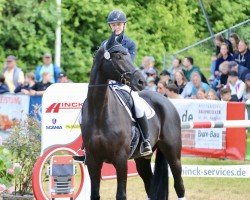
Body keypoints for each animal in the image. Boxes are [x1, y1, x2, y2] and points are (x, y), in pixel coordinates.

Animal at [82, 32, 186, 199]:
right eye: (118, 57)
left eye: (129, 56)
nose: (141, 81)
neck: (99, 112)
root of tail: (166, 100)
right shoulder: (93, 160)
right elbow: (95, 194)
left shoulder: (121, 160)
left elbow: (121, 195)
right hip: (142, 159)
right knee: (150, 184)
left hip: (173, 153)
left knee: (179, 185)